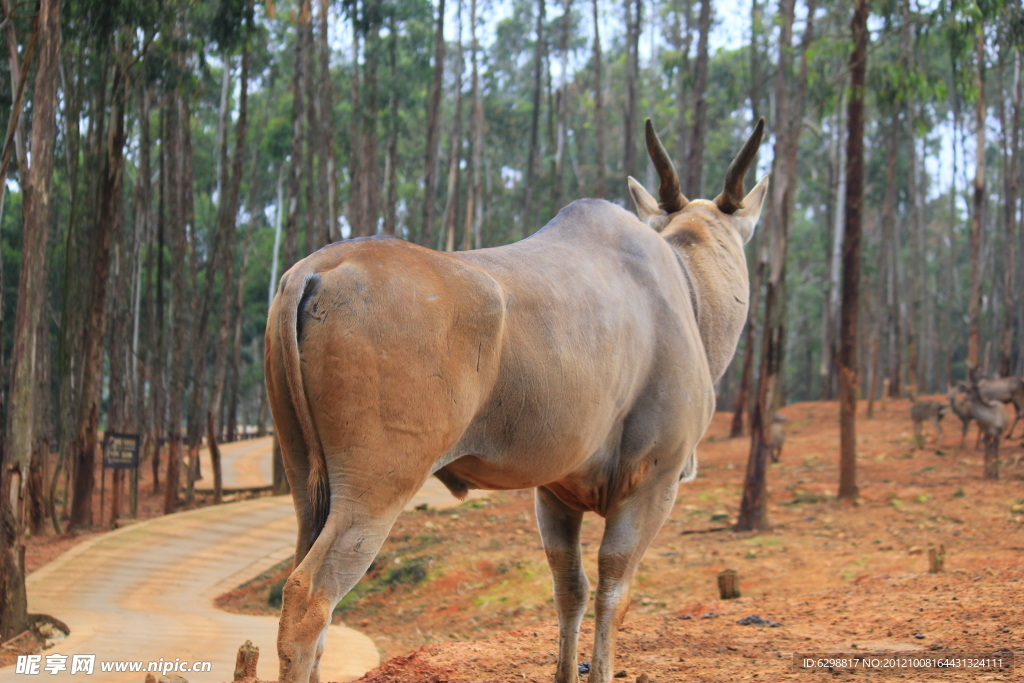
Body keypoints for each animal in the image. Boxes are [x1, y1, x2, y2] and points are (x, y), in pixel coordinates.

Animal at [264, 120, 770, 683]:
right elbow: (614, 591)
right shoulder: (653, 485)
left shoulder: (554, 494)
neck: (683, 284)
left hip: (308, 486)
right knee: (309, 598)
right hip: (374, 491)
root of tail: (316, 270)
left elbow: (570, 589)